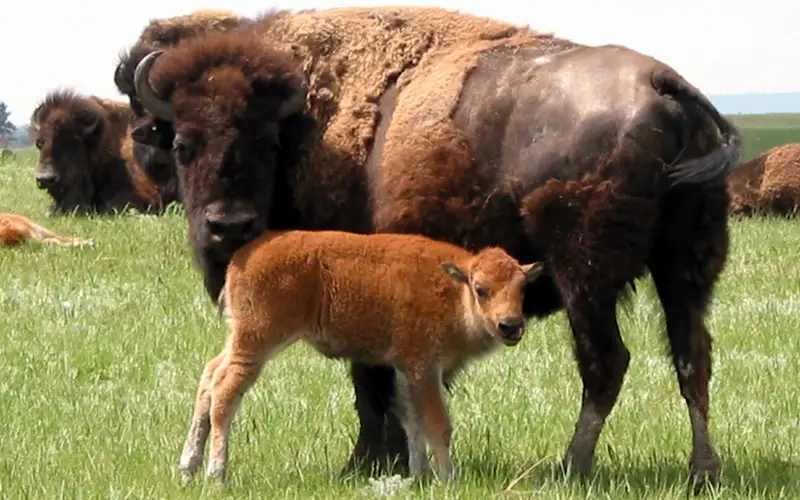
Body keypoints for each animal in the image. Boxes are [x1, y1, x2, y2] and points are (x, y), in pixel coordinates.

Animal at [178, 229, 544, 484]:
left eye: (522, 288)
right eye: (481, 289)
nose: (511, 326)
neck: (454, 288)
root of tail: (243, 257)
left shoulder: (405, 368)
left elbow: (411, 420)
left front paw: (419, 475)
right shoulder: (425, 367)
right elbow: (437, 423)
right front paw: (448, 478)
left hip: (238, 339)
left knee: (209, 377)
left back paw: (187, 468)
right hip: (257, 342)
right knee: (225, 392)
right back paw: (216, 475)